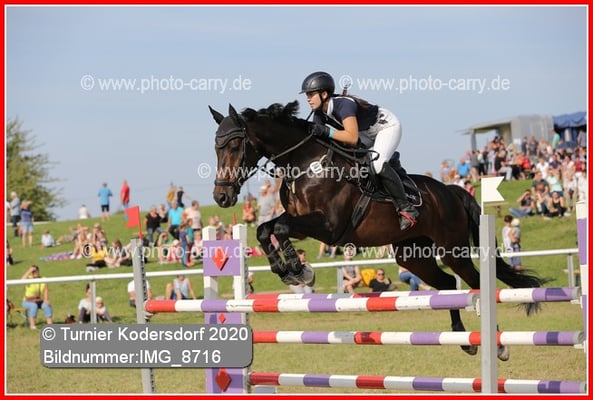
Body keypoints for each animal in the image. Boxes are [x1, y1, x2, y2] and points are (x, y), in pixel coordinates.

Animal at [209, 101, 546, 359]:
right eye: (216, 147)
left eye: (236, 145)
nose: (221, 197)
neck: (304, 162)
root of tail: (452, 190)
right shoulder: (302, 223)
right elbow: (265, 230)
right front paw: (288, 270)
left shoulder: (328, 227)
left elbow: (279, 227)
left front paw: (300, 271)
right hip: (413, 255)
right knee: (449, 284)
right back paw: (462, 338)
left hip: (453, 249)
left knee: (473, 282)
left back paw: (498, 346)